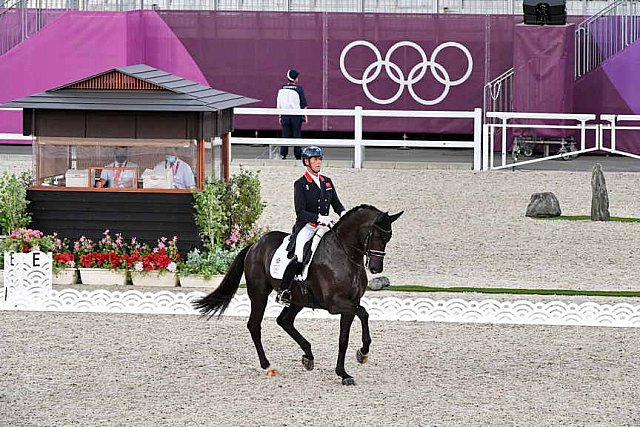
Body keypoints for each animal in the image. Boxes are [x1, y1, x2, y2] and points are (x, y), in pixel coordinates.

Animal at [194, 206, 404, 386]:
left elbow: (343, 338)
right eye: (377, 235)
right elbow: (364, 313)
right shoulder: (335, 304)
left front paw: (344, 373)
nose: (376, 268)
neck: (344, 254)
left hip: (297, 299)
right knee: (255, 325)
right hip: (259, 293)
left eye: (388, 237)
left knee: (284, 321)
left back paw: (308, 356)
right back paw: (268, 366)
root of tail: (254, 245)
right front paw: (363, 353)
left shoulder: (350, 304)